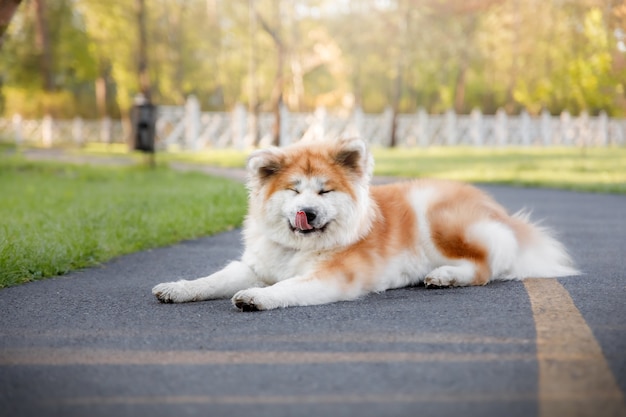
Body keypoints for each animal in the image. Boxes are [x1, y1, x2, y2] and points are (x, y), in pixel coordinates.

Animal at [150, 136, 576, 308]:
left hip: (438, 216)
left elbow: (287, 287)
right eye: (294, 190)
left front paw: (257, 298)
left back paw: (445, 275)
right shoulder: (255, 265)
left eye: (324, 192)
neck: (300, 247)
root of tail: (499, 211)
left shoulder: (331, 276)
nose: (309, 212)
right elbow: (210, 281)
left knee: (484, 267)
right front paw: (177, 288)